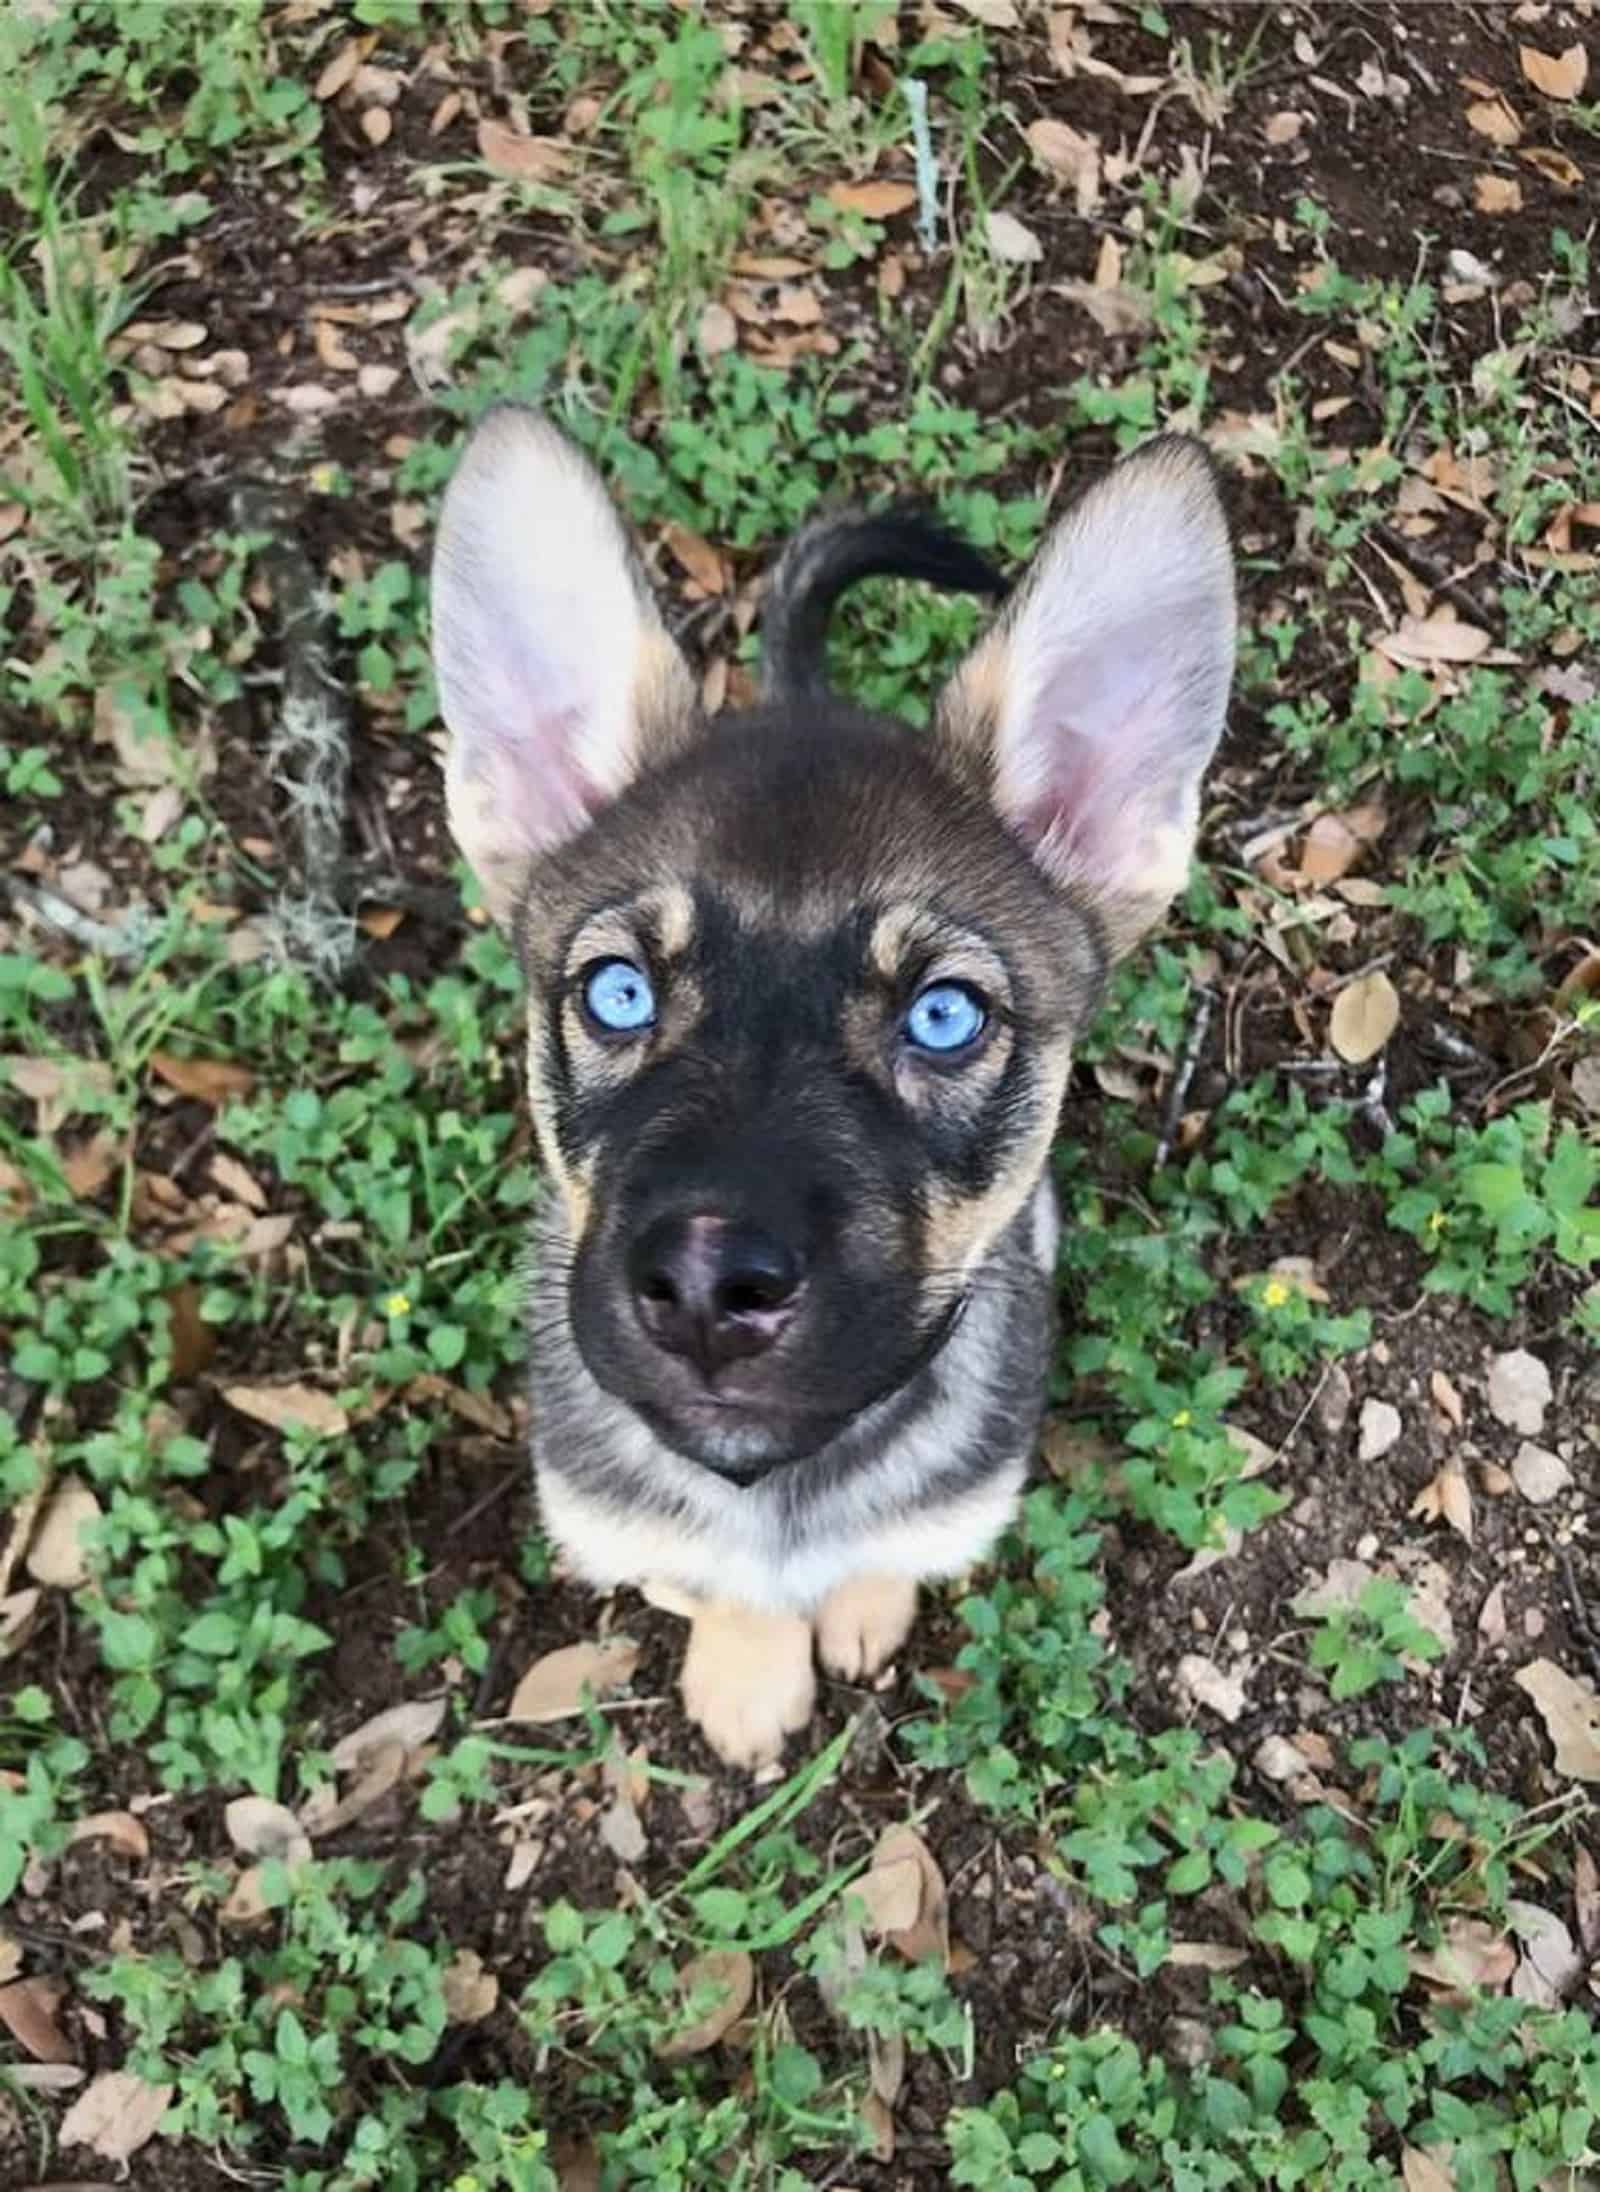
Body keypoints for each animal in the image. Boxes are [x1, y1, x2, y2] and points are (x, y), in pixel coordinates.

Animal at [427, 412, 1236, 1771]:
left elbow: (890, 1545)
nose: (707, 1285)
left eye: (943, 1015)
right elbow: (716, 1585)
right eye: (617, 992)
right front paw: (751, 1672)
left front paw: (859, 1607)